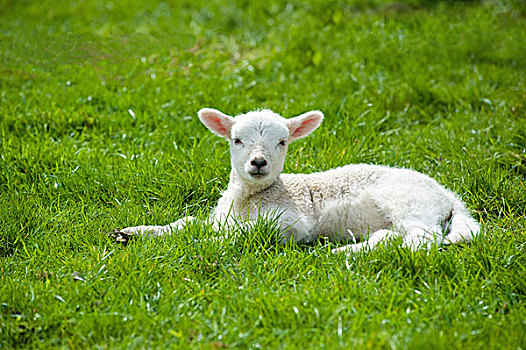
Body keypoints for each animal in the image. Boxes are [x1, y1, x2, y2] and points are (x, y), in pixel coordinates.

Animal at [117, 108, 484, 253]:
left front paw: (203, 244)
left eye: (282, 142)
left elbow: (239, 235)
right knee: (393, 237)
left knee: (421, 239)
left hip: (408, 202)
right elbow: (186, 223)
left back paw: (344, 254)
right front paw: (134, 233)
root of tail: (448, 196)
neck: (249, 198)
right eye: (236, 140)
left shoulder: (291, 223)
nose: (258, 162)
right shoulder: (219, 217)